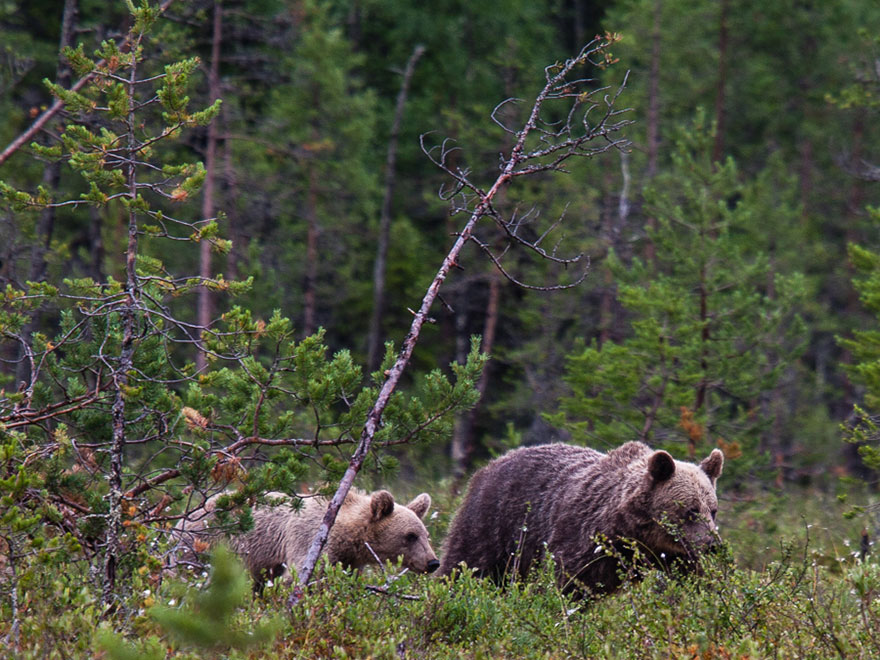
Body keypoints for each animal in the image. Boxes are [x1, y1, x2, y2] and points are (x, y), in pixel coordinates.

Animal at [172, 488, 440, 584]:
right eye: (410, 535)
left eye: (426, 535)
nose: (433, 562)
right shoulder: (308, 539)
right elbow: (300, 577)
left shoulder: (350, 560)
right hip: (202, 545)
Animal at [440, 440, 720, 596]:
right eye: (691, 510)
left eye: (713, 510)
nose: (712, 545)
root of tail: (490, 464)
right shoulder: (584, 539)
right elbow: (567, 583)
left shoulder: (673, 556)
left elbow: (691, 582)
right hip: (494, 523)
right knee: (466, 564)